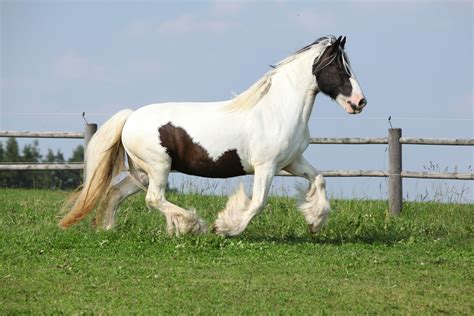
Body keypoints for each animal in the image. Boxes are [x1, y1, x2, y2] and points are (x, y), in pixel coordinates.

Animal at [59, 35, 368, 236]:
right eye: (339, 67)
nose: (360, 102)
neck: (277, 110)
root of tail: (129, 117)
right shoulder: (266, 166)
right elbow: (257, 203)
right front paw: (225, 228)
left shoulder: (291, 162)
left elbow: (319, 179)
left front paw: (315, 221)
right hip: (158, 168)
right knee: (153, 199)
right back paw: (192, 225)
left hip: (143, 172)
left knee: (116, 193)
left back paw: (109, 230)